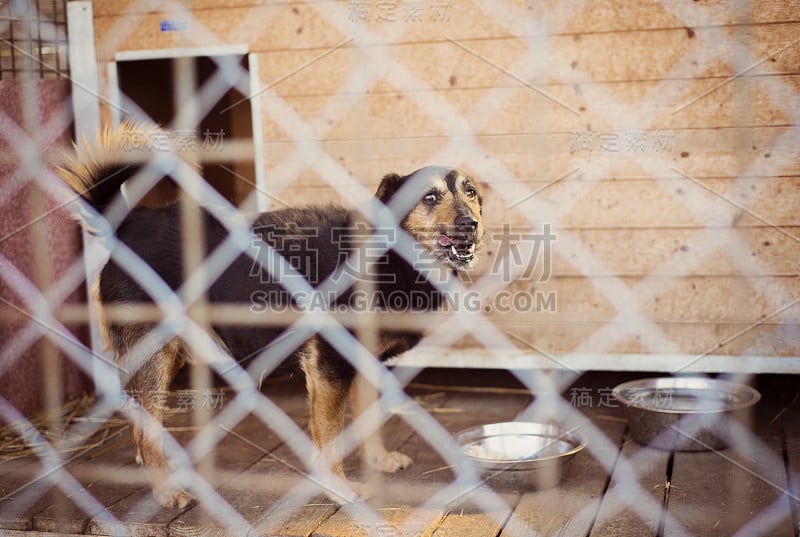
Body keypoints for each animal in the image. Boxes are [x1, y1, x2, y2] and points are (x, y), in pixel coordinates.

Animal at [57, 121, 482, 506]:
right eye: (429, 197)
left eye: (471, 191)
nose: (471, 224)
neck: (392, 259)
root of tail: (130, 223)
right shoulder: (328, 366)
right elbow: (329, 437)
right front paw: (341, 489)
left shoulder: (364, 362)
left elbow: (367, 421)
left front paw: (378, 460)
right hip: (156, 354)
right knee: (144, 426)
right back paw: (164, 491)